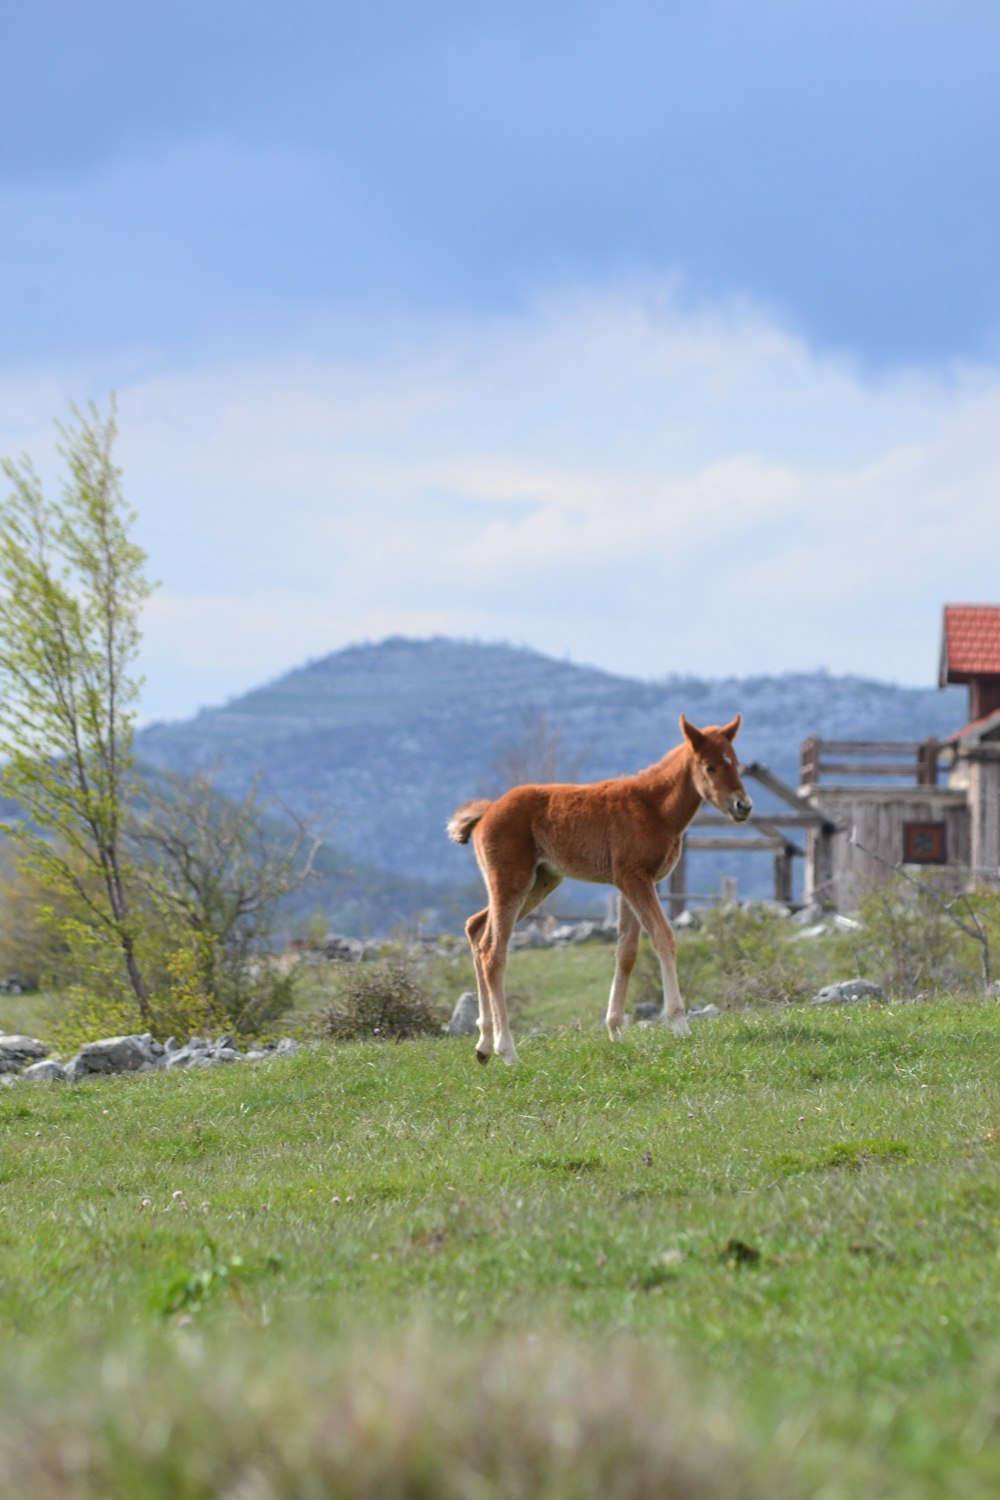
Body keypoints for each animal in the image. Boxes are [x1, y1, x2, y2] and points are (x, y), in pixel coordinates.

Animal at [446, 717, 749, 1062]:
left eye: (736, 762)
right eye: (710, 766)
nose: (743, 805)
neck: (654, 807)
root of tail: (487, 812)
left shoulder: (633, 882)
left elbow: (627, 950)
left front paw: (615, 1029)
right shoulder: (634, 877)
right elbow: (663, 936)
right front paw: (679, 1024)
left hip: (541, 881)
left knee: (476, 929)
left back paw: (483, 1044)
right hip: (511, 880)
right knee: (493, 952)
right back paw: (507, 1050)